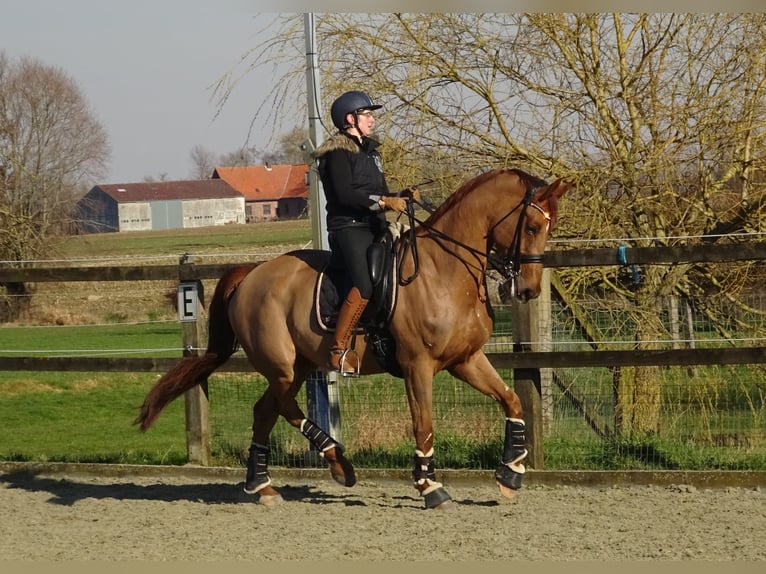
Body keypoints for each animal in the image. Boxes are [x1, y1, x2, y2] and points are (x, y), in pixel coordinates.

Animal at [136, 169, 568, 510]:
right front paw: (430, 486)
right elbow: (424, 424)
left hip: (298, 366)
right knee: (278, 406)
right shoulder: (418, 366)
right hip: (283, 366)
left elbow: (512, 401)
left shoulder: (466, 360)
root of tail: (252, 274)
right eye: (532, 227)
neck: (445, 270)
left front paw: (511, 472)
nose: (528, 290)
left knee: (265, 411)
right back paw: (331, 461)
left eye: (550, 228)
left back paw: (265, 485)